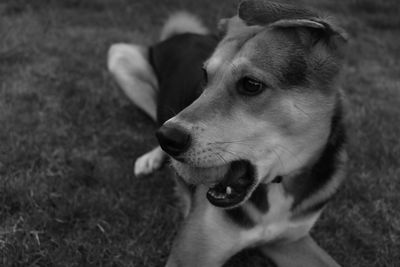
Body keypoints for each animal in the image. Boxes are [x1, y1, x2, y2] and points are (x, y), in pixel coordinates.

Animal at [107, 0, 346, 267]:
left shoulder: (290, 240)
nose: (167, 139)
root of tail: (182, 33)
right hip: (119, 55)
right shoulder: (189, 257)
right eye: (205, 76)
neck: (278, 183)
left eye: (251, 84)